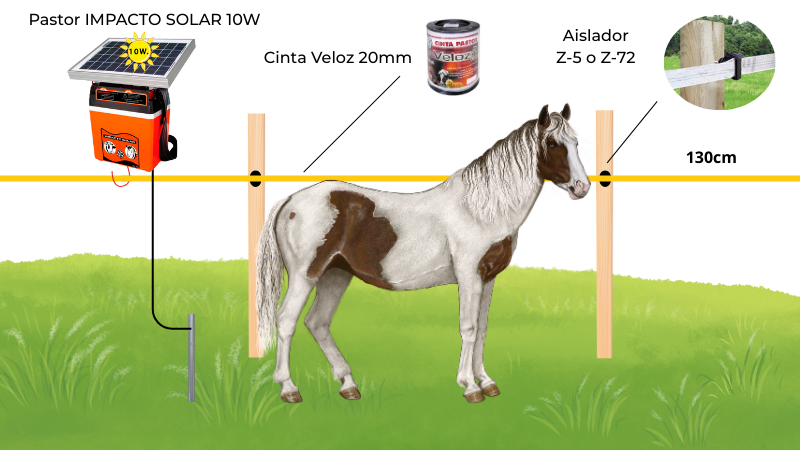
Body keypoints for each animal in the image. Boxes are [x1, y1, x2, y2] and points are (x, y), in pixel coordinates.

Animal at [256, 103, 591, 404]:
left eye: (575, 142)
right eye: (552, 143)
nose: (582, 187)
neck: (481, 210)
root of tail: (289, 201)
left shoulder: (488, 278)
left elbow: (482, 329)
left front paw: (486, 382)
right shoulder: (469, 276)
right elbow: (468, 328)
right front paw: (470, 387)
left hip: (336, 275)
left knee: (318, 323)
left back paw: (348, 385)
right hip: (305, 276)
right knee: (286, 321)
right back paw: (289, 389)